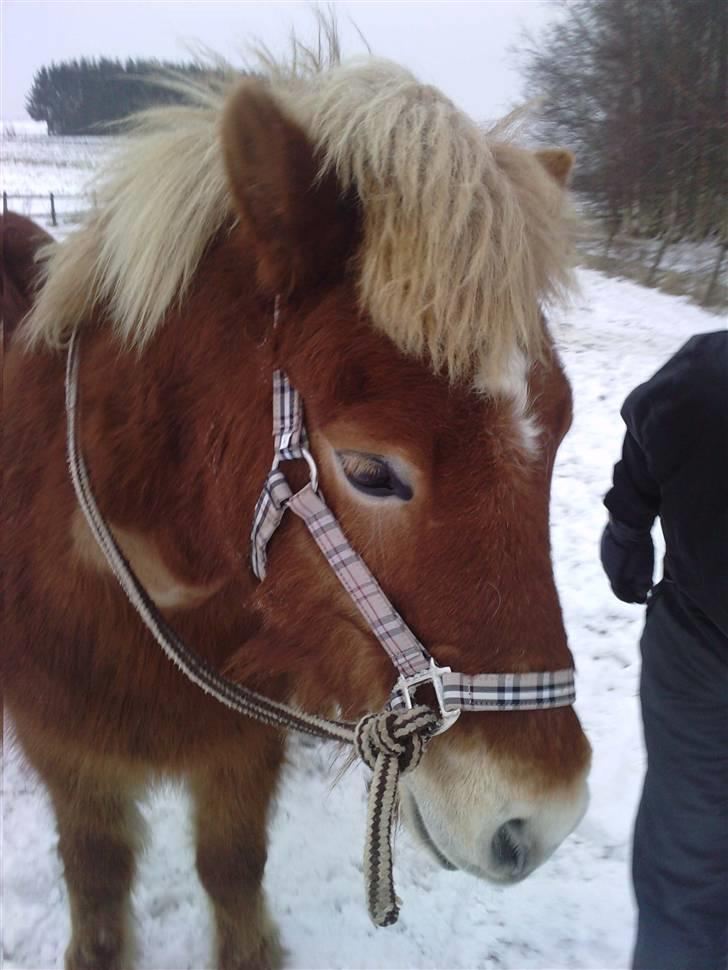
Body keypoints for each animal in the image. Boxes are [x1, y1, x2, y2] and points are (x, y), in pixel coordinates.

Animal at [4, 51, 592, 968]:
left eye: (561, 430)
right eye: (370, 471)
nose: (543, 818)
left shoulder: (245, 747)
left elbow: (231, 866)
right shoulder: (69, 755)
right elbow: (98, 884)